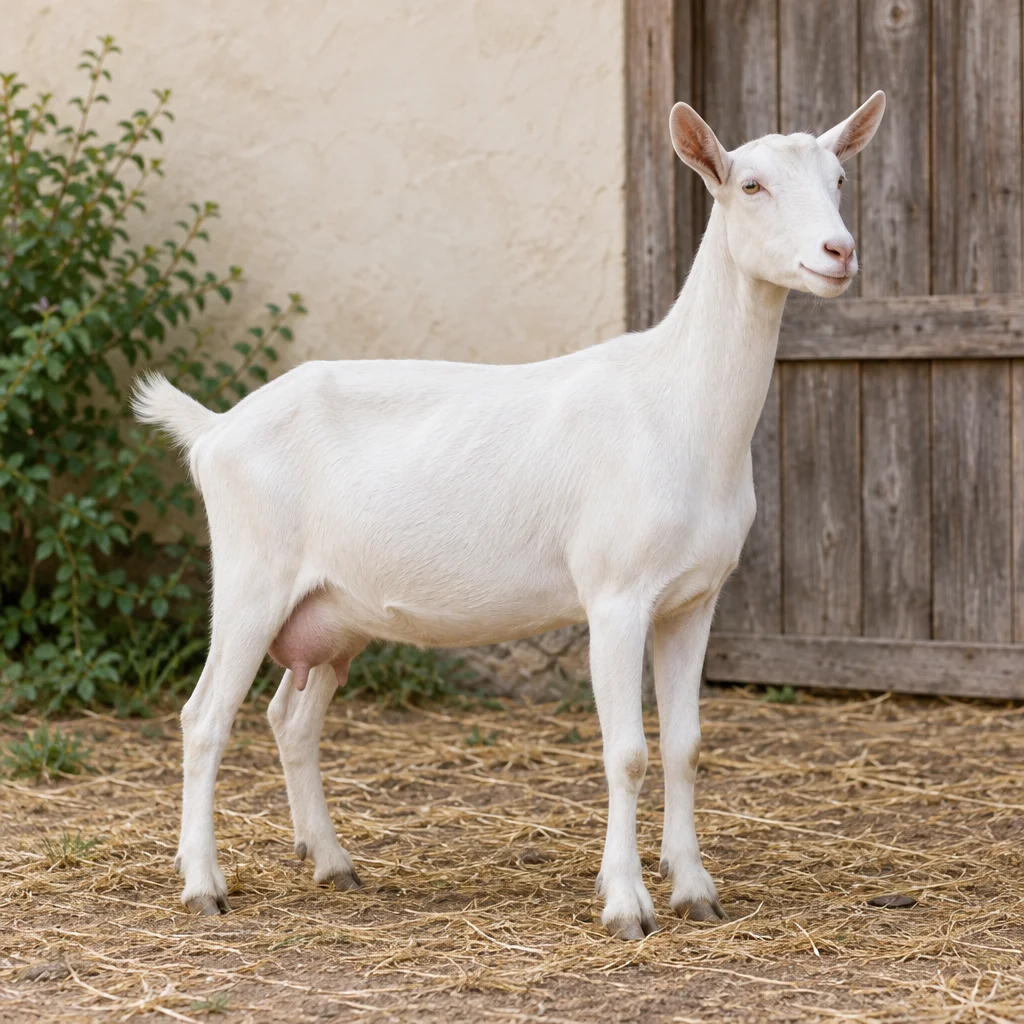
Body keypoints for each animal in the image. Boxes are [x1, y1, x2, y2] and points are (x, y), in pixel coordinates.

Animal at [133, 91, 886, 939]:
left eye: (839, 177)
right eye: (750, 185)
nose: (838, 251)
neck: (677, 405)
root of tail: (215, 429)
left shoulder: (694, 600)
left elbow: (687, 744)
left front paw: (695, 888)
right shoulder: (615, 595)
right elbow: (628, 751)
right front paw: (626, 903)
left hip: (334, 612)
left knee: (291, 720)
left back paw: (332, 862)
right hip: (250, 577)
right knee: (204, 719)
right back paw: (203, 883)